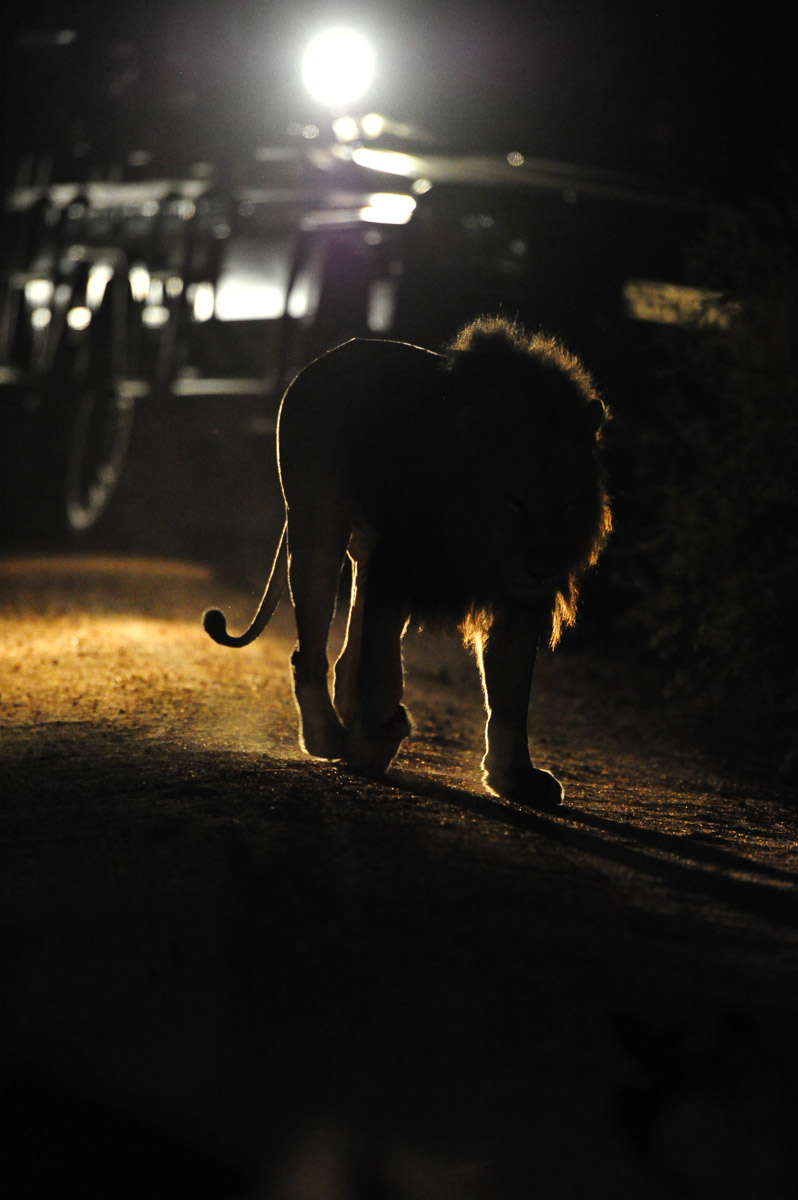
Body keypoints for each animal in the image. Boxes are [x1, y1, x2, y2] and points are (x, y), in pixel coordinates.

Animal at [204, 316, 611, 808]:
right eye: (514, 503)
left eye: (570, 505)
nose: (543, 566)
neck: (480, 537)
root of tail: (327, 357)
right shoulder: (398, 564)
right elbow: (381, 669)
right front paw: (371, 743)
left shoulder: (517, 597)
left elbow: (511, 694)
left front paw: (513, 778)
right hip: (319, 522)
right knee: (312, 650)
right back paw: (329, 738)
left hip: (365, 547)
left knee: (348, 653)